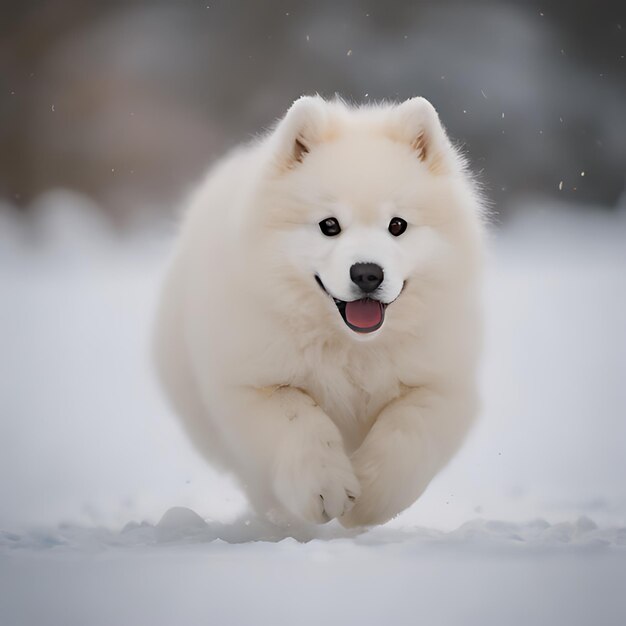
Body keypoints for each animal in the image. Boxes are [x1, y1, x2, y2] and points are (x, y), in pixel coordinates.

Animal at [154, 96, 486, 528]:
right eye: (329, 225)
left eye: (397, 225)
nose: (367, 273)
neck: (352, 348)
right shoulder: (252, 384)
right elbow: (300, 421)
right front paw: (325, 488)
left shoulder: (442, 384)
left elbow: (406, 432)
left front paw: (371, 497)